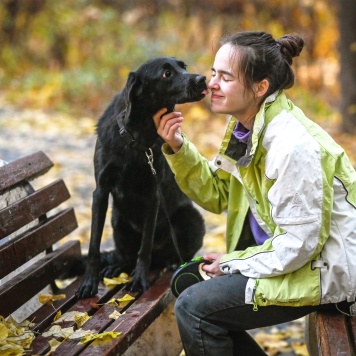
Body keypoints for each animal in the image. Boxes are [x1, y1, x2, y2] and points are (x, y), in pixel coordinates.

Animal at [77, 57, 206, 298]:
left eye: (183, 66)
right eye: (166, 73)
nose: (202, 79)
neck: (138, 138)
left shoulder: (153, 195)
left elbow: (144, 247)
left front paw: (139, 280)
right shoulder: (100, 191)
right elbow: (93, 245)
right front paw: (88, 283)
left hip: (192, 218)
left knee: (169, 254)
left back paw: (173, 262)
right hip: (117, 220)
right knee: (126, 255)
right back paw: (117, 266)